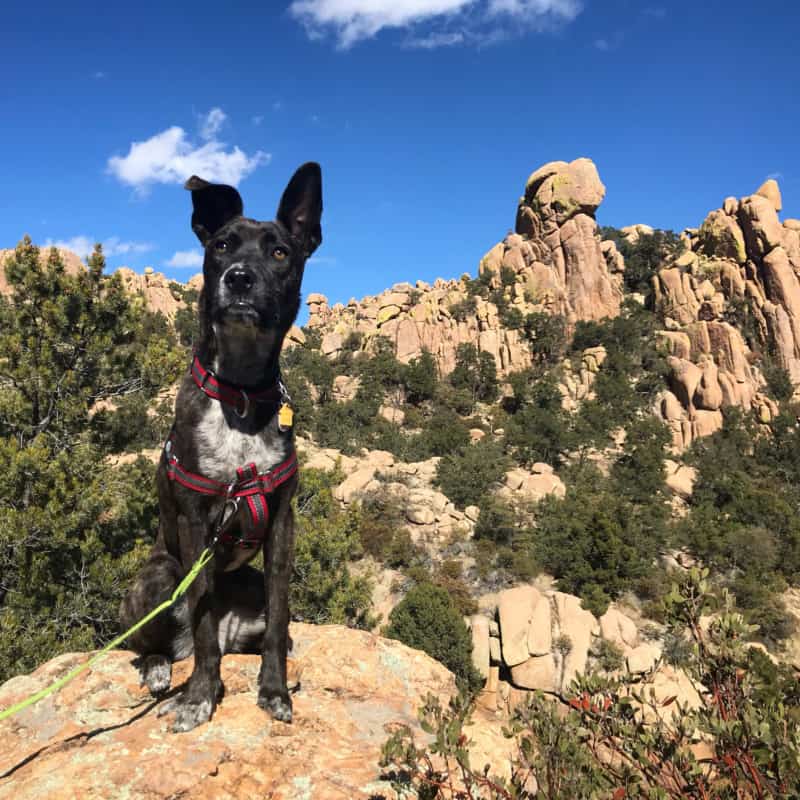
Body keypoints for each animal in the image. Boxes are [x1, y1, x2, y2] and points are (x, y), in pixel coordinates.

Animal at [120, 162, 320, 732]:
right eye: (222, 246)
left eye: (280, 252)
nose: (239, 278)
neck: (241, 393)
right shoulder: (195, 525)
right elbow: (203, 621)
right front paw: (200, 696)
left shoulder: (281, 522)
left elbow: (280, 621)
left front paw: (274, 689)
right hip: (158, 577)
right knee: (159, 643)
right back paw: (161, 668)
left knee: (269, 633)